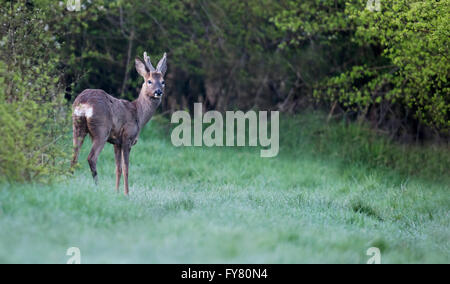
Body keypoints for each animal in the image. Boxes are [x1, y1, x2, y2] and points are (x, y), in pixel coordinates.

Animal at [71, 51, 168, 195]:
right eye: (149, 81)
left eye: (163, 82)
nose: (158, 92)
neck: (138, 114)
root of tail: (83, 102)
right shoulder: (127, 137)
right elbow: (126, 168)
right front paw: (126, 193)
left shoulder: (116, 142)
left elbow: (118, 169)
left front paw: (116, 192)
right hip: (101, 130)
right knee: (91, 158)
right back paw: (97, 186)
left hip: (77, 127)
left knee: (74, 155)